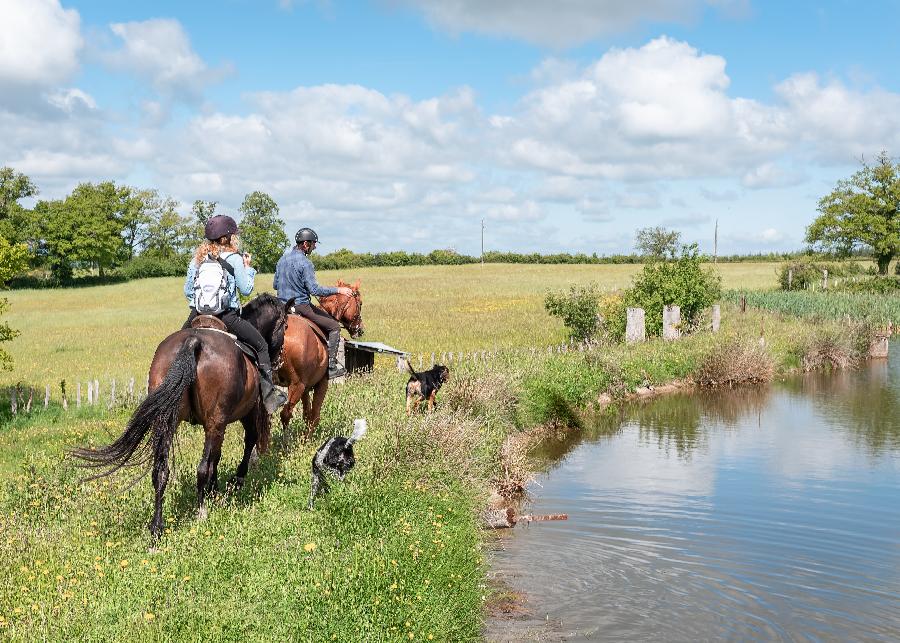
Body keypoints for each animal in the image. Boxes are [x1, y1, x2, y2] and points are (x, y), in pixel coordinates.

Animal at [71, 296, 288, 540]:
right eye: (285, 326)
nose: (279, 359)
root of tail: (194, 342)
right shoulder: (243, 413)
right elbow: (244, 443)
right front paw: (235, 481)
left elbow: (216, 457)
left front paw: (216, 490)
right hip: (215, 421)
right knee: (202, 467)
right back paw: (201, 511)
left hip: (167, 421)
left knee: (160, 470)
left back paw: (157, 527)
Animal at [282, 280, 366, 440]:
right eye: (360, 303)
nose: (360, 330)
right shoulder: (321, 383)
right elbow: (315, 415)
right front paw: (306, 440)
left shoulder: (306, 387)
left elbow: (306, 414)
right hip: (296, 385)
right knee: (285, 414)